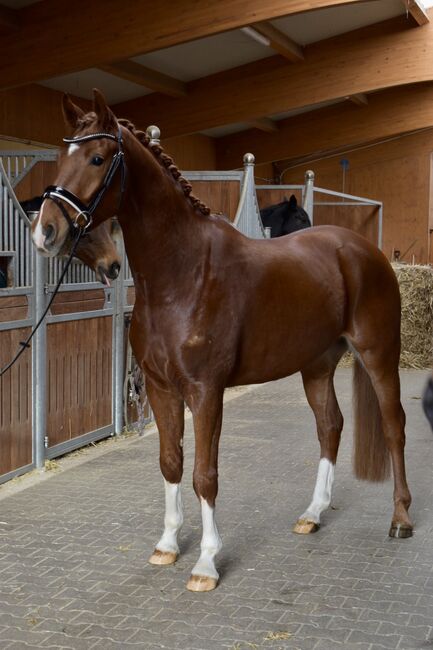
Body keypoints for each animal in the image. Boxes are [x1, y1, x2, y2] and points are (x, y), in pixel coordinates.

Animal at [30, 91, 412, 592]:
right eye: (61, 157)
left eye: (96, 157)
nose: (45, 231)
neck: (182, 274)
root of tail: (364, 250)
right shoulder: (161, 389)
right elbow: (171, 462)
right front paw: (167, 545)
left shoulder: (205, 391)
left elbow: (205, 475)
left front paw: (207, 563)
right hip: (316, 365)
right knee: (330, 426)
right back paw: (312, 514)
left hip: (379, 355)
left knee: (394, 426)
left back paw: (400, 519)